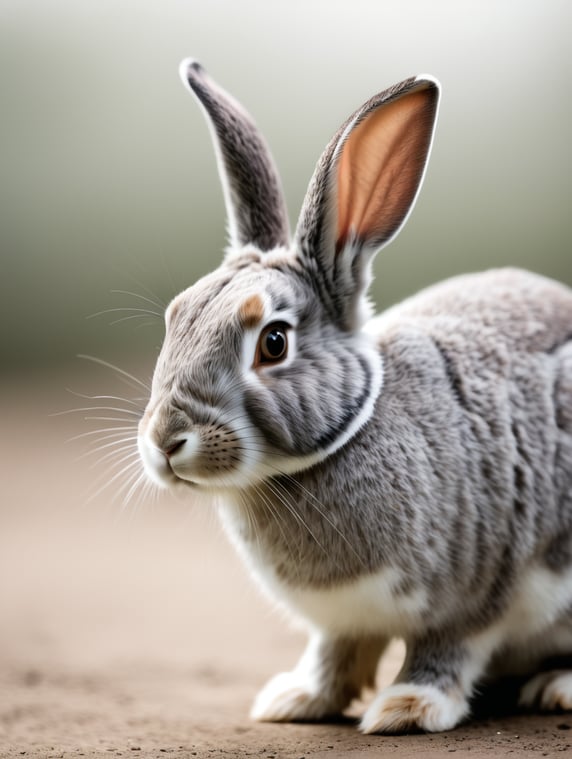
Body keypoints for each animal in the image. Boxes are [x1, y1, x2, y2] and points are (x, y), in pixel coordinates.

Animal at [137, 58, 572, 733]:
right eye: (176, 316)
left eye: (273, 342)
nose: (165, 442)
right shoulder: (342, 620)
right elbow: (334, 653)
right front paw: (293, 700)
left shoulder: (478, 591)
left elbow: (447, 647)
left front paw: (408, 707)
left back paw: (555, 687)